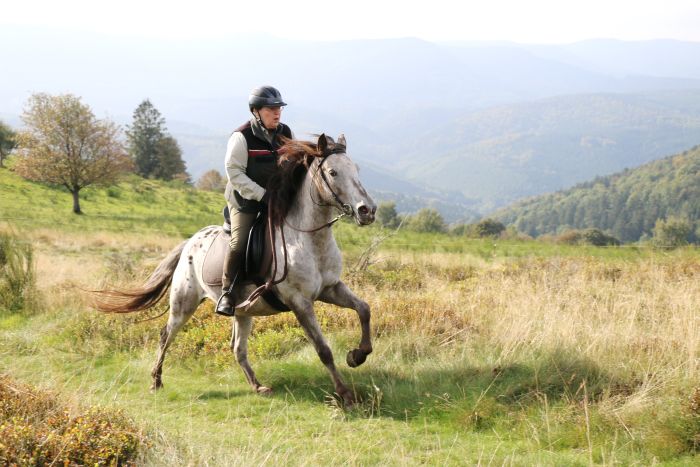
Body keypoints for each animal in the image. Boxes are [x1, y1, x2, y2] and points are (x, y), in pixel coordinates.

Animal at [94, 133, 378, 404]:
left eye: (356, 169)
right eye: (333, 172)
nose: (368, 210)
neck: (307, 238)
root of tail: (190, 242)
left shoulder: (330, 288)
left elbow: (364, 309)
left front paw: (357, 355)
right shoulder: (299, 301)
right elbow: (323, 349)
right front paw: (345, 393)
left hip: (243, 311)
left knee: (237, 347)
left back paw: (258, 386)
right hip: (183, 303)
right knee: (166, 335)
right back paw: (156, 381)